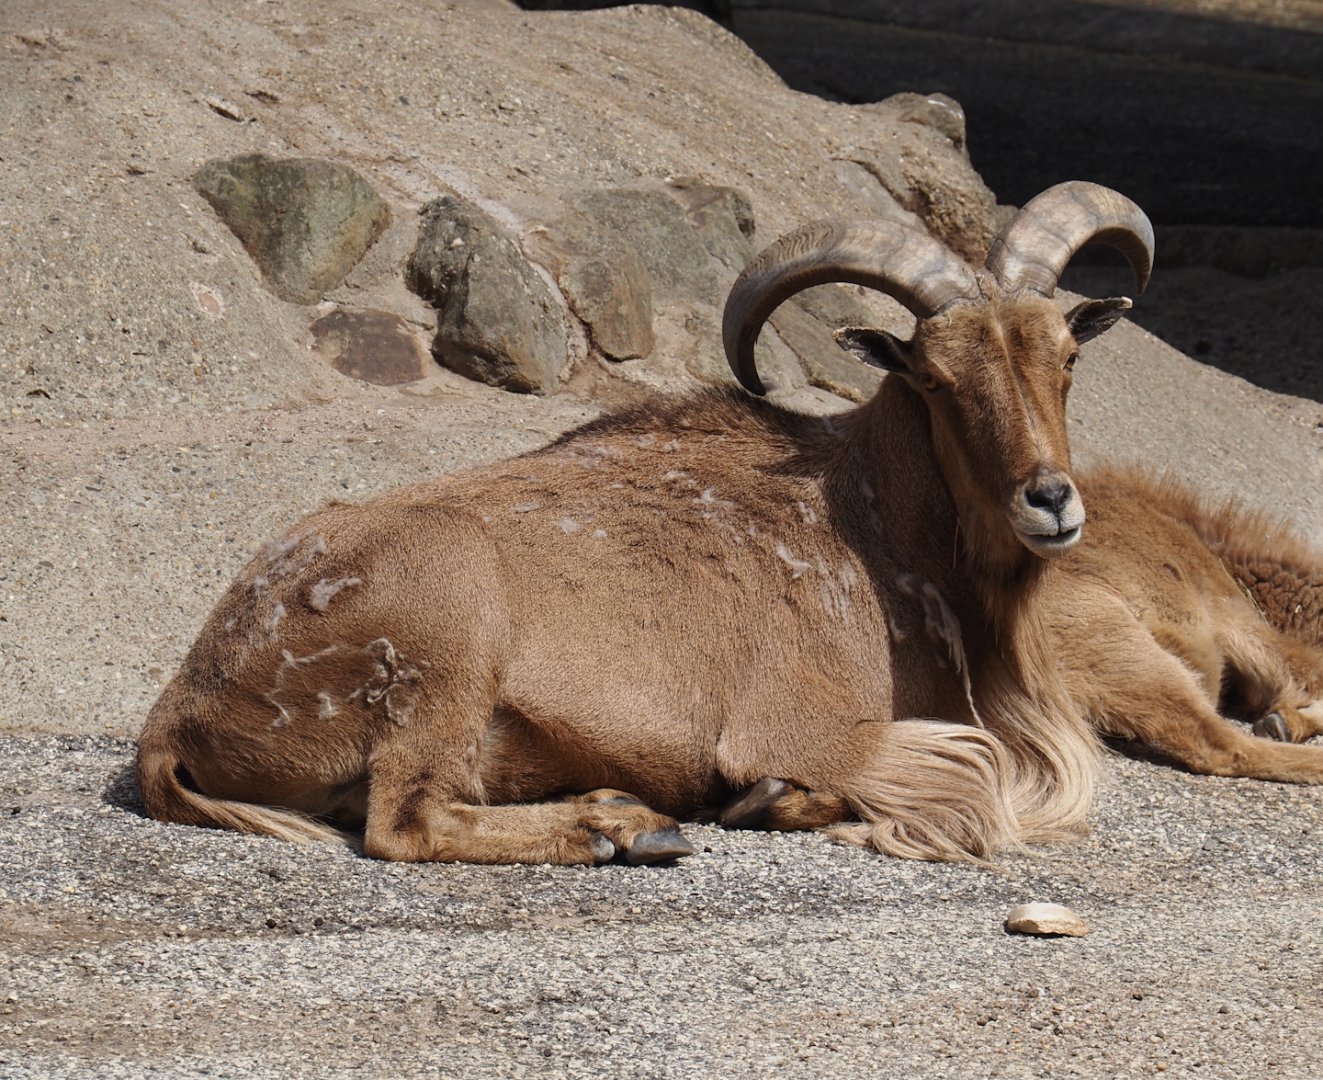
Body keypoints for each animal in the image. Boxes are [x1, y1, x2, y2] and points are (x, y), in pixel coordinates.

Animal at [141, 180, 1181, 865]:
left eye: (1064, 357)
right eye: (931, 377)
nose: (1048, 499)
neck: (877, 527)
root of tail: (179, 711)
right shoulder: (806, 726)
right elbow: (967, 779)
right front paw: (770, 799)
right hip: (445, 635)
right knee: (406, 822)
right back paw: (620, 828)